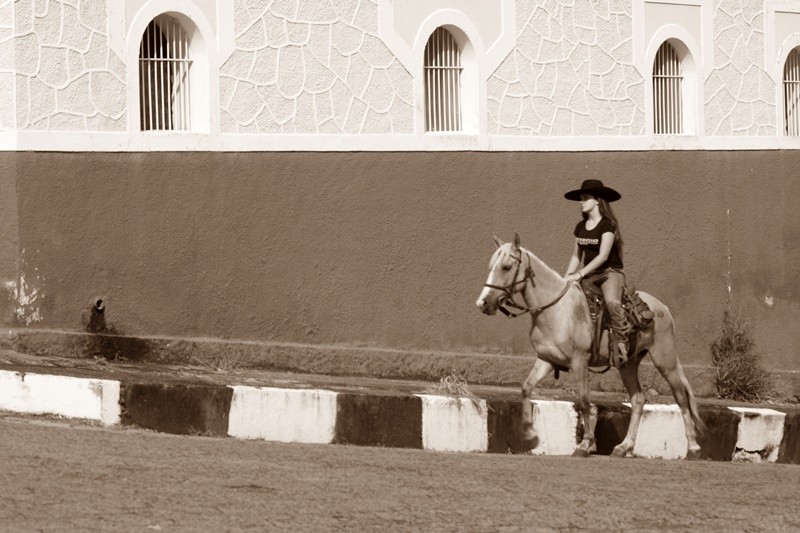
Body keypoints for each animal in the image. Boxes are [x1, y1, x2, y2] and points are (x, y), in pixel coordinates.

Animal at [472, 235, 704, 460]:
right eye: (491, 266)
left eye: (506, 267)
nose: (482, 303)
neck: (557, 310)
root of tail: (662, 307)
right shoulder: (546, 359)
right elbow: (526, 387)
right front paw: (530, 436)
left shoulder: (579, 361)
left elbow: (584, 401)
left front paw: (585, 445)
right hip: (627, 364)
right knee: (638, 399)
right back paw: (623, 447)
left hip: (665, 360)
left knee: (681, 397)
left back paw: (693, 447)